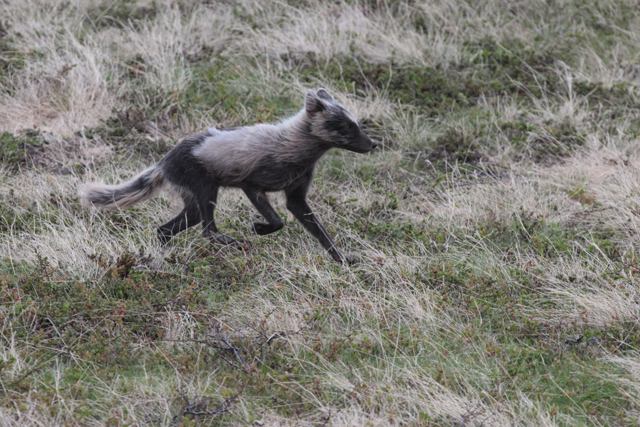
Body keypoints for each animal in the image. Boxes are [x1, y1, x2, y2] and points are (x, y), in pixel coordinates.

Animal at [82, 88, 378, 264]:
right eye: (345, 127)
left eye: (356, 124)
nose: (373, 144)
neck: (294, 147)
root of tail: (163, 162)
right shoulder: (252, 184)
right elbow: (278, 221)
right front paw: (259, 229)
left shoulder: (296, 196)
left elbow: (320, 232)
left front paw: (341, 259)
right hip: (206, 189)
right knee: (208, 230)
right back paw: (237, 243)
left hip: (193, 203)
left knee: (165, 229)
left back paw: (164, 255)